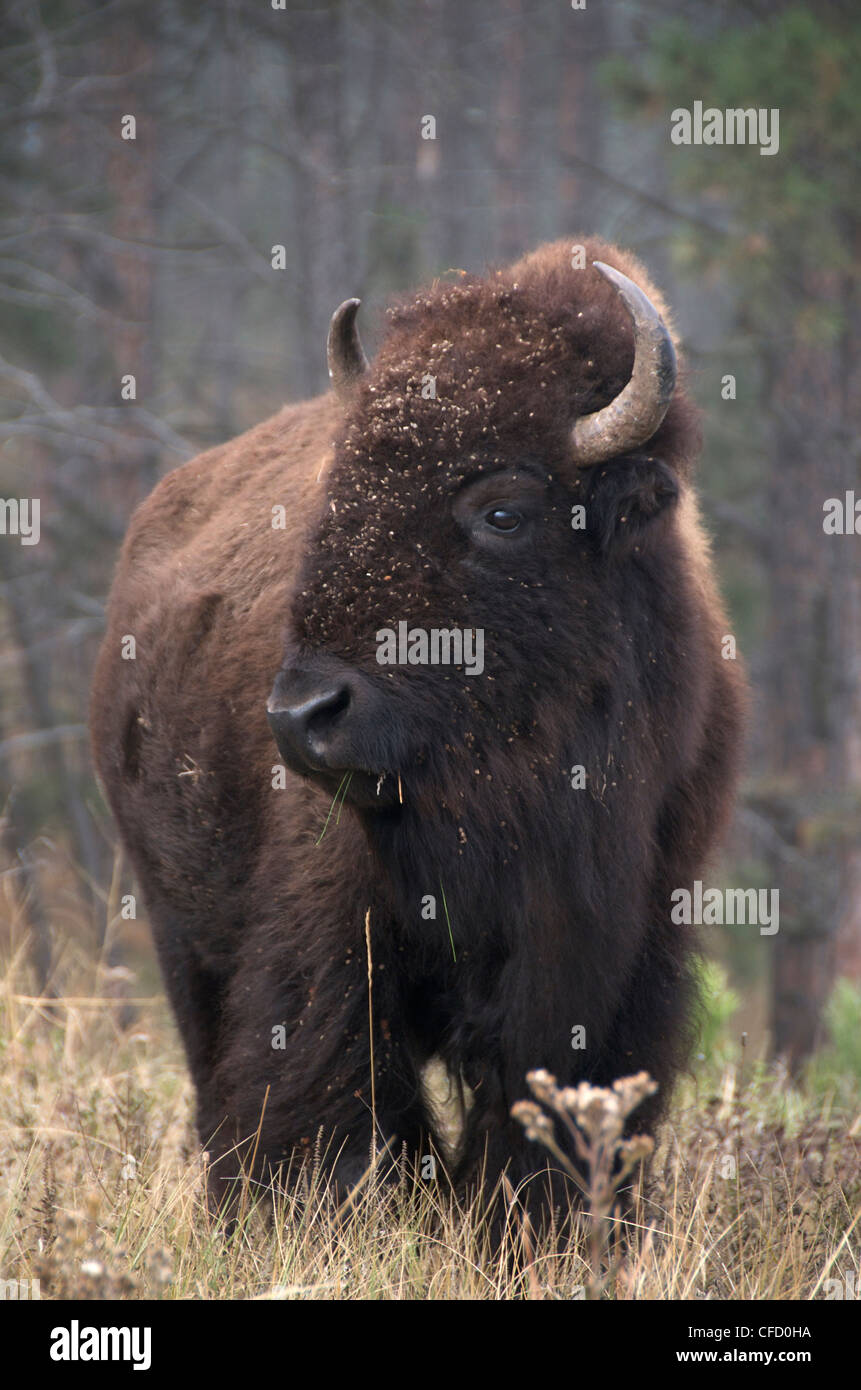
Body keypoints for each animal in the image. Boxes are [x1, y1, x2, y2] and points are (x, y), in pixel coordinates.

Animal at [89, 239, 745, 1228]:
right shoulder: (331, 937)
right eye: (340, 484)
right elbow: (329, 1097)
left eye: (503, 509)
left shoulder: (623, 954)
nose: (301, 715)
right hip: (177, 928)